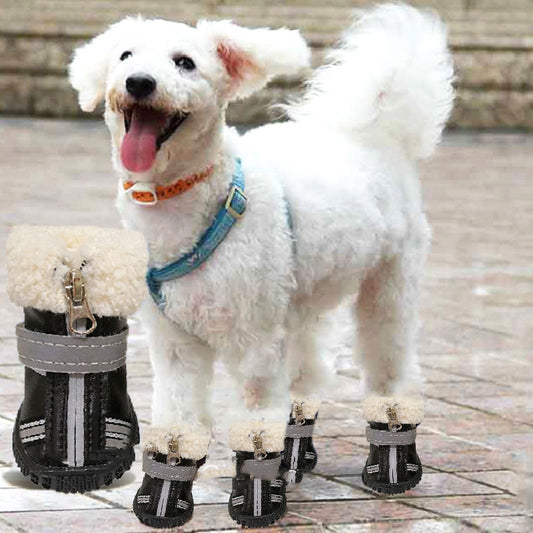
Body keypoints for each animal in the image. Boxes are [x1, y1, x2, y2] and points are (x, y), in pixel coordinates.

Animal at [68, 0, 454, 496]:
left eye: (185, 63)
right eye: (125, 56)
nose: (139, 82)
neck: (193, 202)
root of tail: (378, 134)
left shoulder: (254, 341)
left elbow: (255, 422)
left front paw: (258, 494)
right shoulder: (176, 343)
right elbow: (180, 420)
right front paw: (167, 491)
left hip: (388, 282)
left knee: (390, 360)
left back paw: (392, 453)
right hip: (301, 300)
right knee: (308, 371)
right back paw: (298, 452)